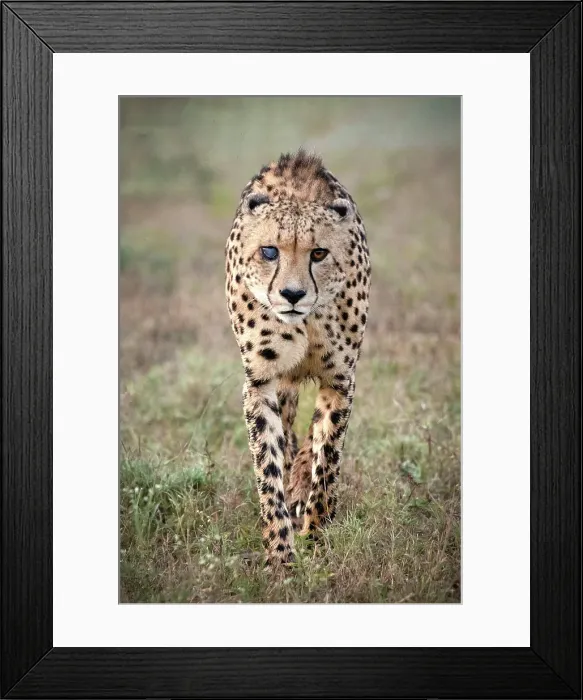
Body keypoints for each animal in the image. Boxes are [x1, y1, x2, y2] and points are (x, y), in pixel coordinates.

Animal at [225, 149, 371, 567]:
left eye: (318, 253)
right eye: (269, 251)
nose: (292, 294)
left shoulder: (340, 380)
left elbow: (328, 456)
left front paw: (315, 532)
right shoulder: (260, 382)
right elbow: (268, 464)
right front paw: (280, 553)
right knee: (289, 431)